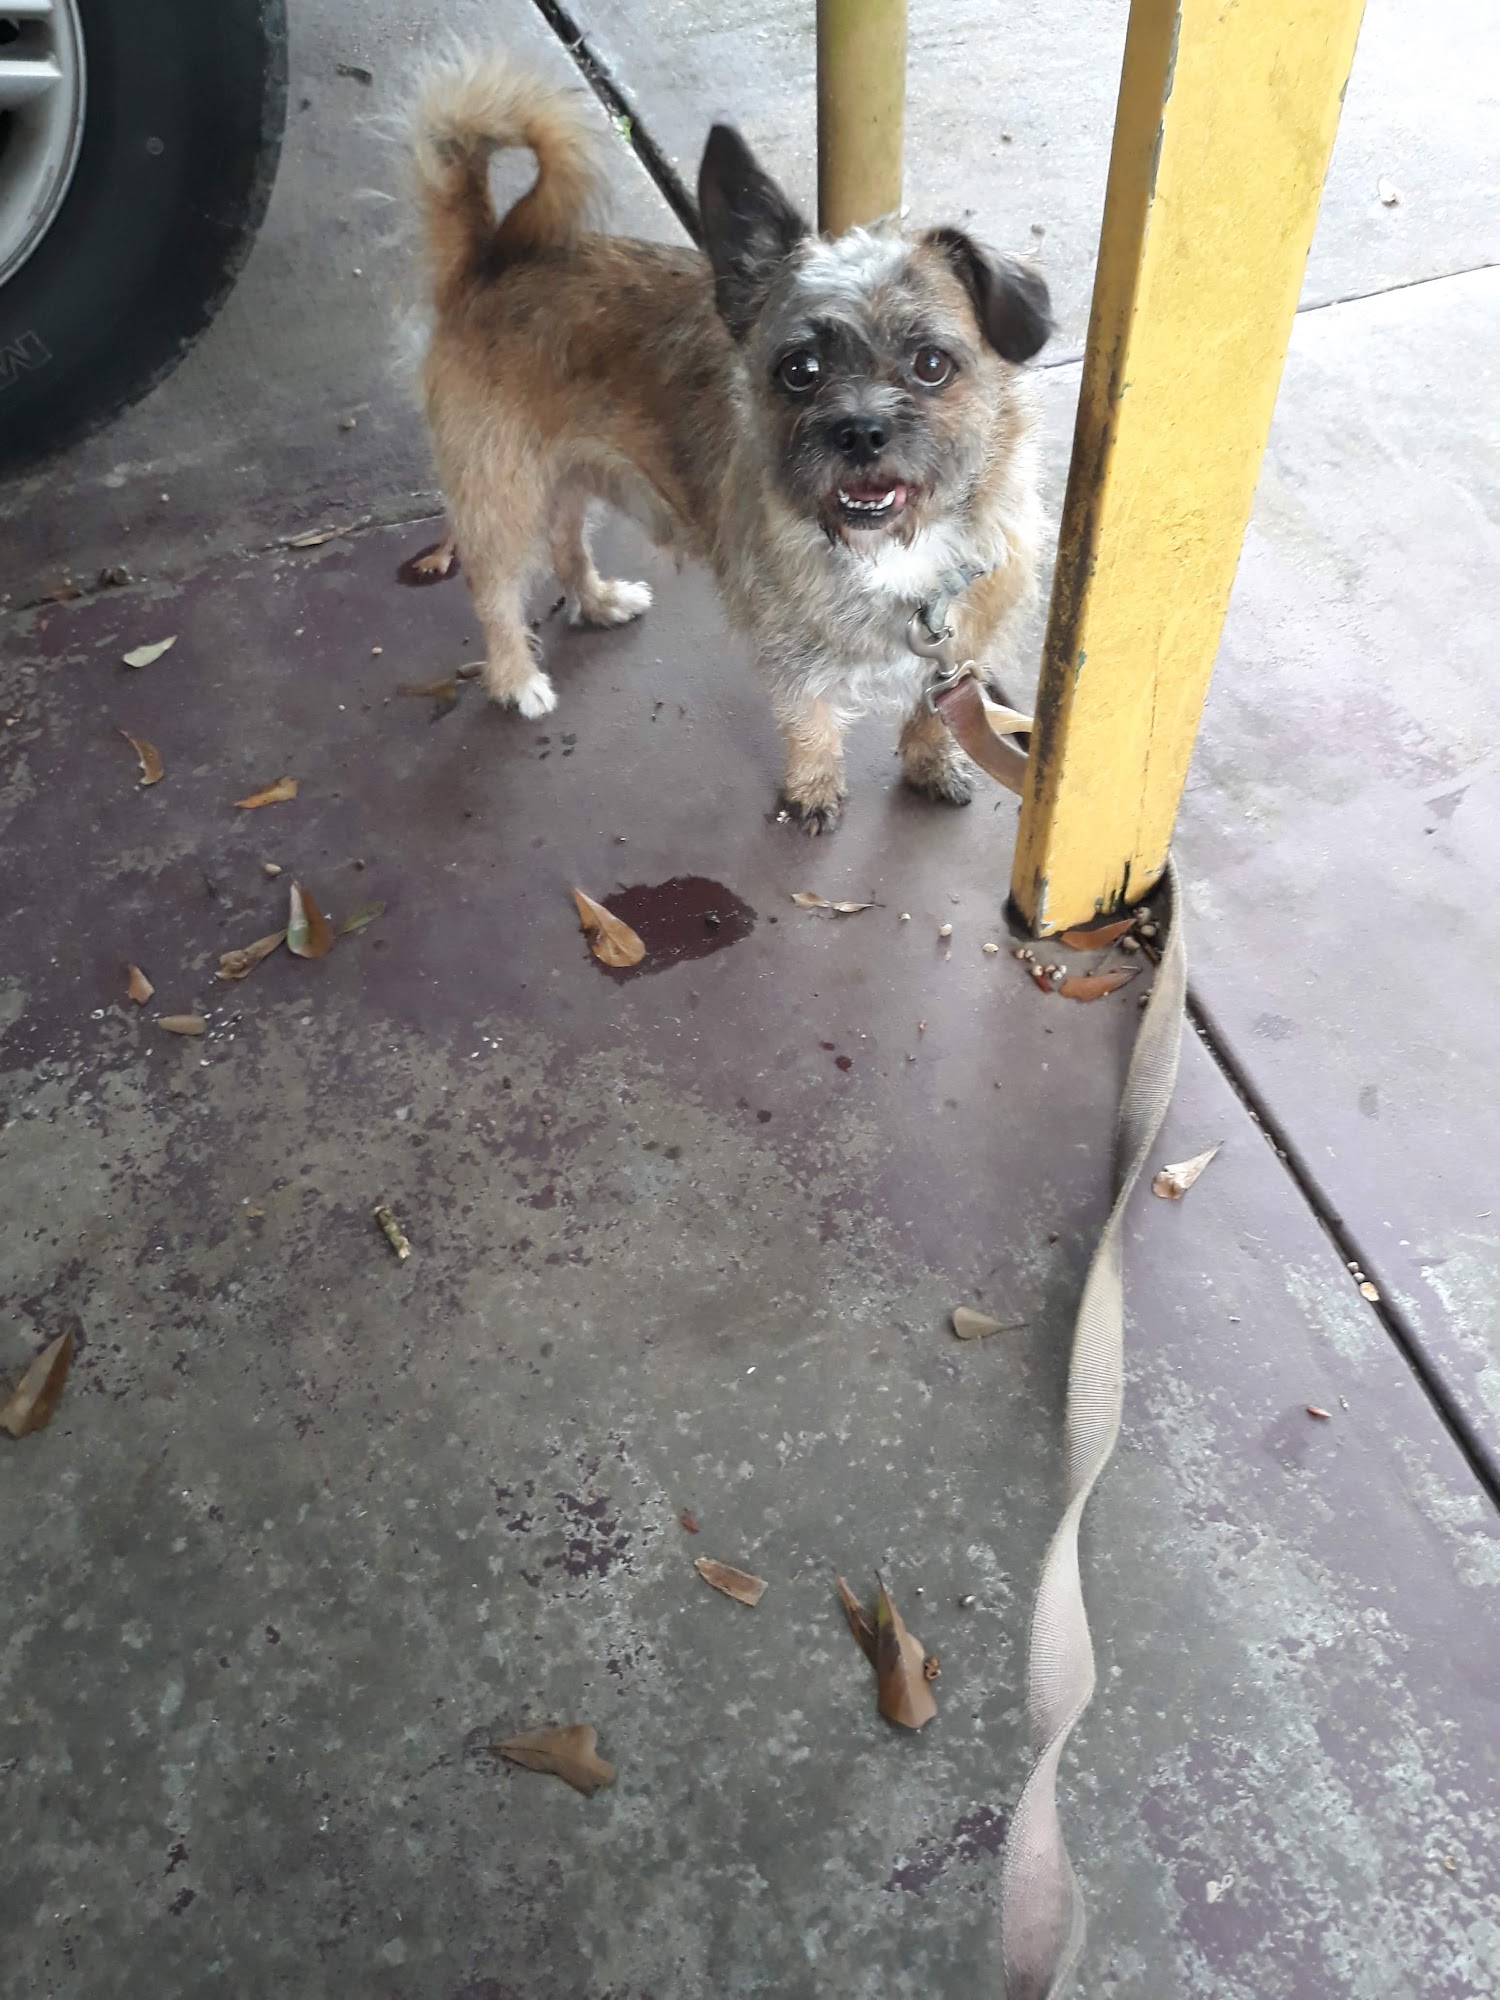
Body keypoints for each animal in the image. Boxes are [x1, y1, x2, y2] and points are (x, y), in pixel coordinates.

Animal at [412, 53, 1051, 833]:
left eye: (932, 364)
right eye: (799, 370)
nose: (860, 432)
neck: (898, 555)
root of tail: (487, 259)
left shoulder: (963, 643)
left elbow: (934, 709)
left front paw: (929, 762)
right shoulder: (788, 645)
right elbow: (808, 716)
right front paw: (813, 787)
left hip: (568, 473)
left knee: (566, 545)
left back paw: (597, 600)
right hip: (504, 493)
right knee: (495, 590)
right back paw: (515, 677)